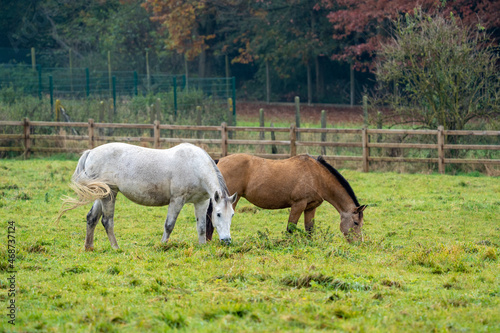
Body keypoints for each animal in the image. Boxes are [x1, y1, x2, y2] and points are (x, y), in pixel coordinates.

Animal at [57, 142, 237, 249]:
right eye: (218, 214)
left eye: (232, 215)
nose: (226, 240)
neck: (195, 165)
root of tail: (91, 152)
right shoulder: (177, 200)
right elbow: (169, 225)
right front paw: (163, 245)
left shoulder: (201, 202)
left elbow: (201, 227)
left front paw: (201, 247)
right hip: (110, 194)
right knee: (107, 221)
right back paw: (116, 248)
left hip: (103, 193)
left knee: (91, 218)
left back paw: (89, 248)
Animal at [207, 153, 368, 241]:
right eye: (355, 223)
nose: (358, 242)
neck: (316, 176)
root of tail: (219, 161)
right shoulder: (298, 205)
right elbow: (290, 228)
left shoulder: (310, 208)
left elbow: (310, 230)